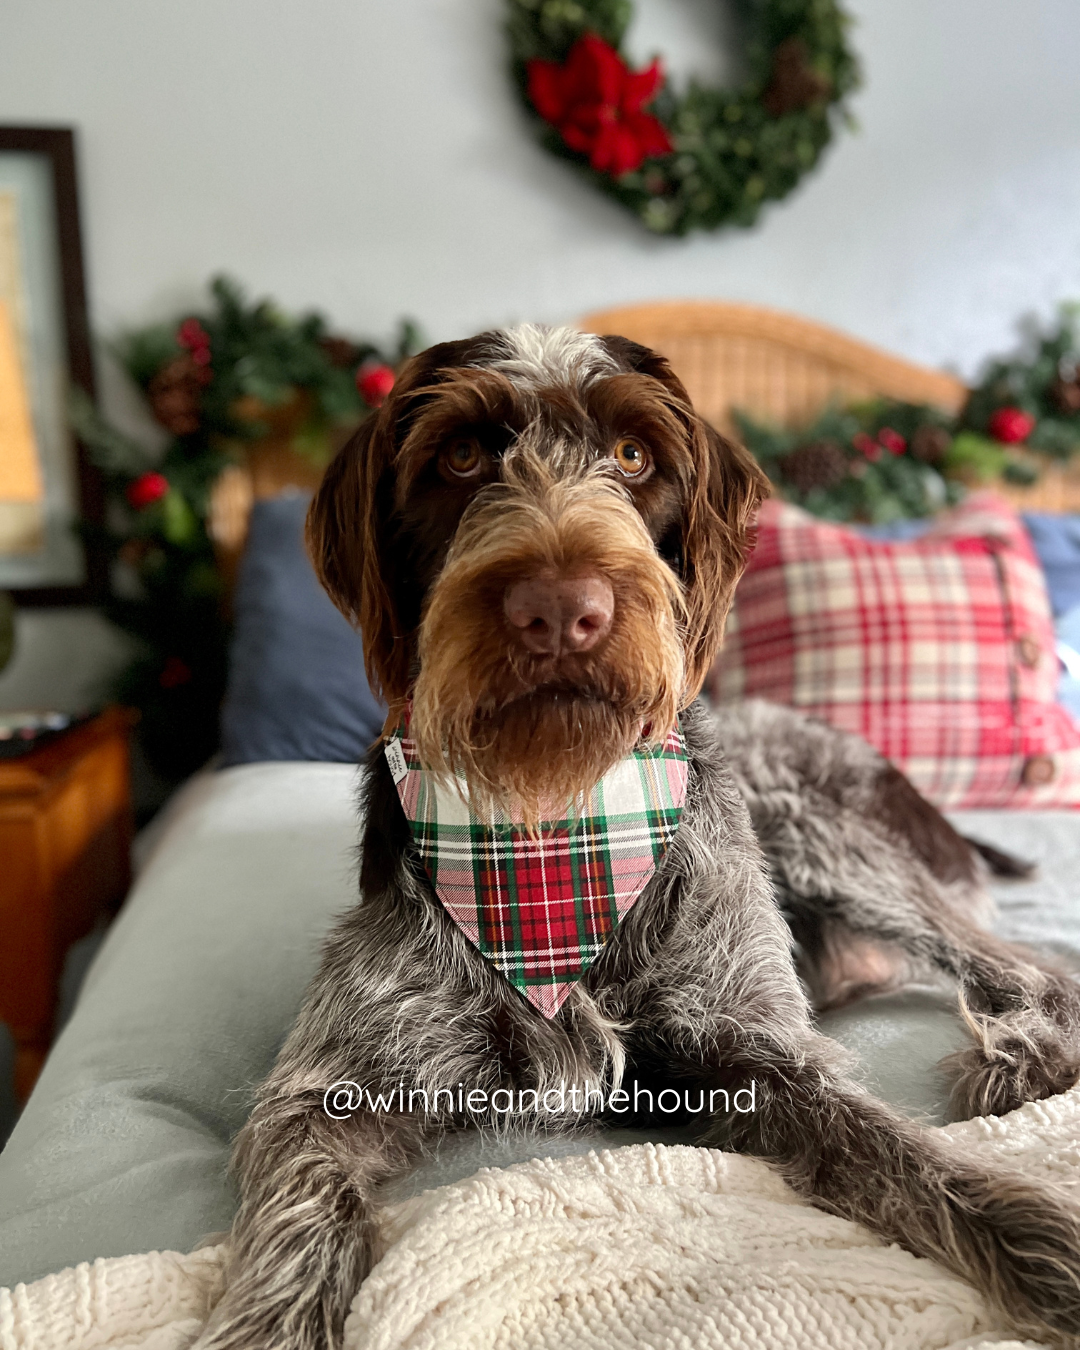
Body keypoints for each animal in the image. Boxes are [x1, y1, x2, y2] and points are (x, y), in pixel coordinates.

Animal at [198, 321, 1080, 1344]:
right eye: (459, 456)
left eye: (632, 456)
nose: (559, 611)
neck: (553, 823)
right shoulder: (328, 1089)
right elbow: (299, 1216)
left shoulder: (763, 1053)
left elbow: (909, 1158)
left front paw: (1046, 1249)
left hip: (824, 834)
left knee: (1028, 967)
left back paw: (1026, 1050)